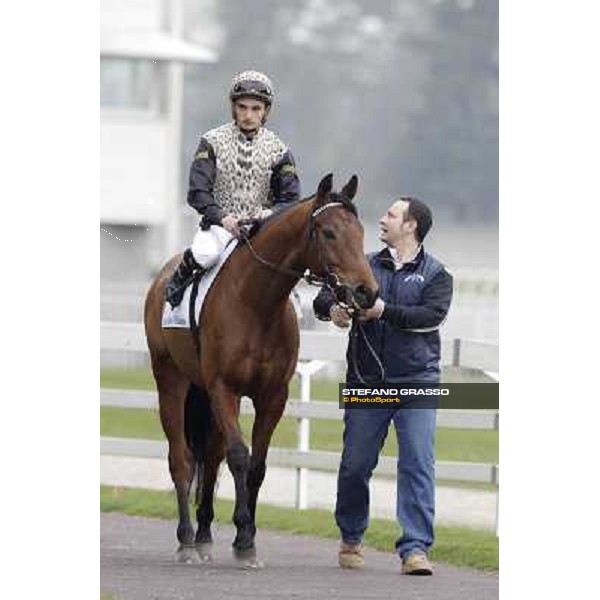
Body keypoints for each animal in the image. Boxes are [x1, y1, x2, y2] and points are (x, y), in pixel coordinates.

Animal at [143, 172, 378, 568]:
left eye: (360, 232)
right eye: (329, 232)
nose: (366, 293)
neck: (256, 304)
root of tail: (161, 278)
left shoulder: (273, 396)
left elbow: (257, 465)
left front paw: (246, 538)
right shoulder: (224, 388)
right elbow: (240, 457)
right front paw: (243, 536)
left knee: (211, 456)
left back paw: (204, 536)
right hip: (171, 381)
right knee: (182, 460)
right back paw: (187, 540)